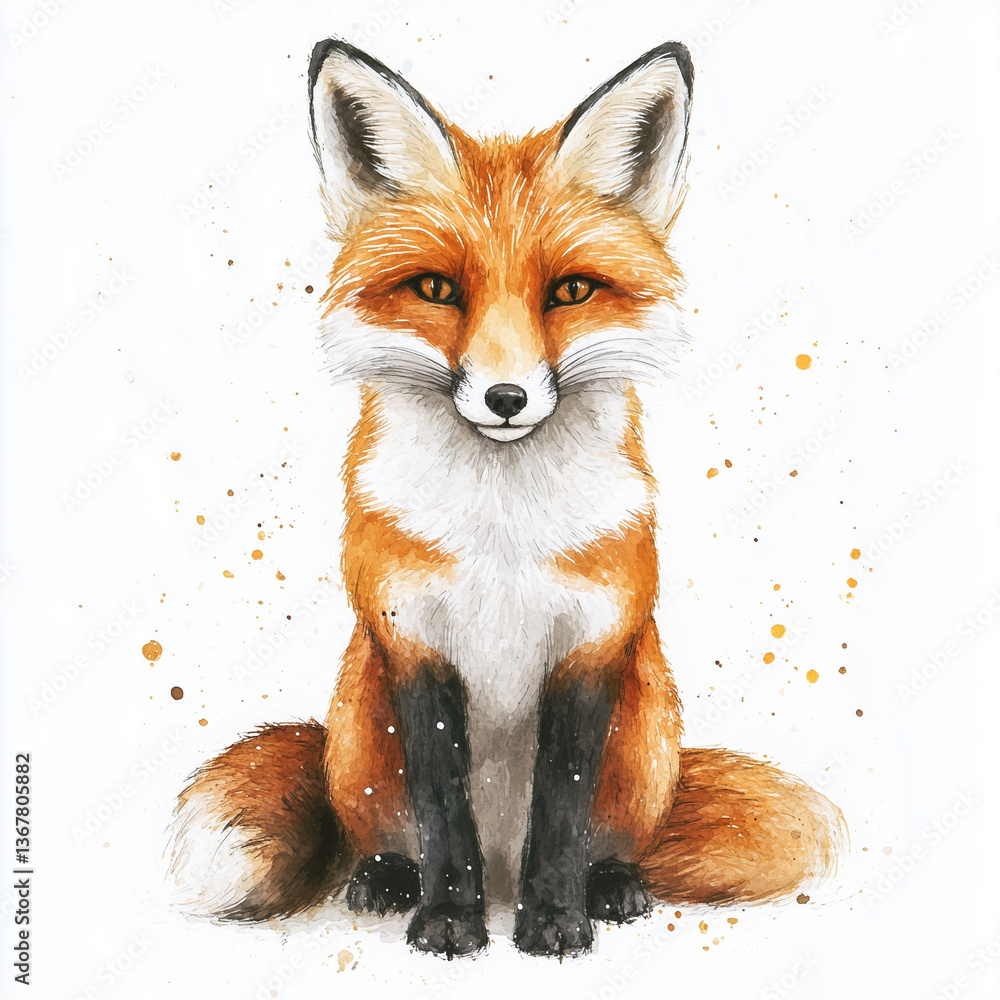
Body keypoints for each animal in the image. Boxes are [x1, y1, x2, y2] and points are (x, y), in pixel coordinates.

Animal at [169, 39, 845, 959]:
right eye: (436, 290)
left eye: (570, 292)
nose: (505, 398)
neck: (502, 532)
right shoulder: (411, 640)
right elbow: (441, 807)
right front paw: (450, 924)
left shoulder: (593, 642)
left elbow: (561, 807)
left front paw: (555, 921)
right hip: (356, 725)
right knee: (386, 832)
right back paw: (387, 879)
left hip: (647, 728)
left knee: (610, 838)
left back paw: (612, 885)